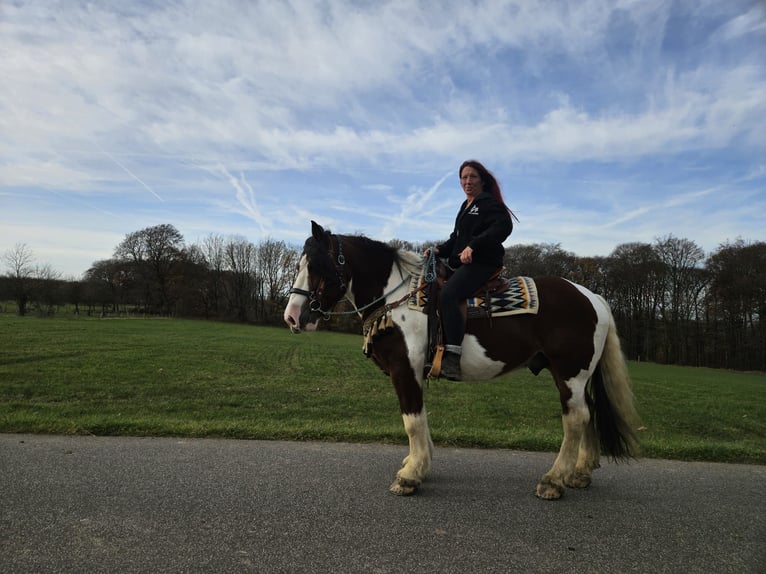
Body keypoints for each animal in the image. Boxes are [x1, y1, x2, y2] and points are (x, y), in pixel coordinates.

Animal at [283, 221, 640, 499]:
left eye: (317, 266)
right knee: (588, 413)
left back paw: (553, 480)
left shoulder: (404, 369)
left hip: (569, 373)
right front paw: (419, 465)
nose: (292, 317)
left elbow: (412, 420)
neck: (398, 298)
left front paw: (410, 476)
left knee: (576, 418)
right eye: (299, 266)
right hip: (573, 375)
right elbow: (420, 419)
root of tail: (591, 296)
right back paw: (579, 473)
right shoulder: (414, 373)